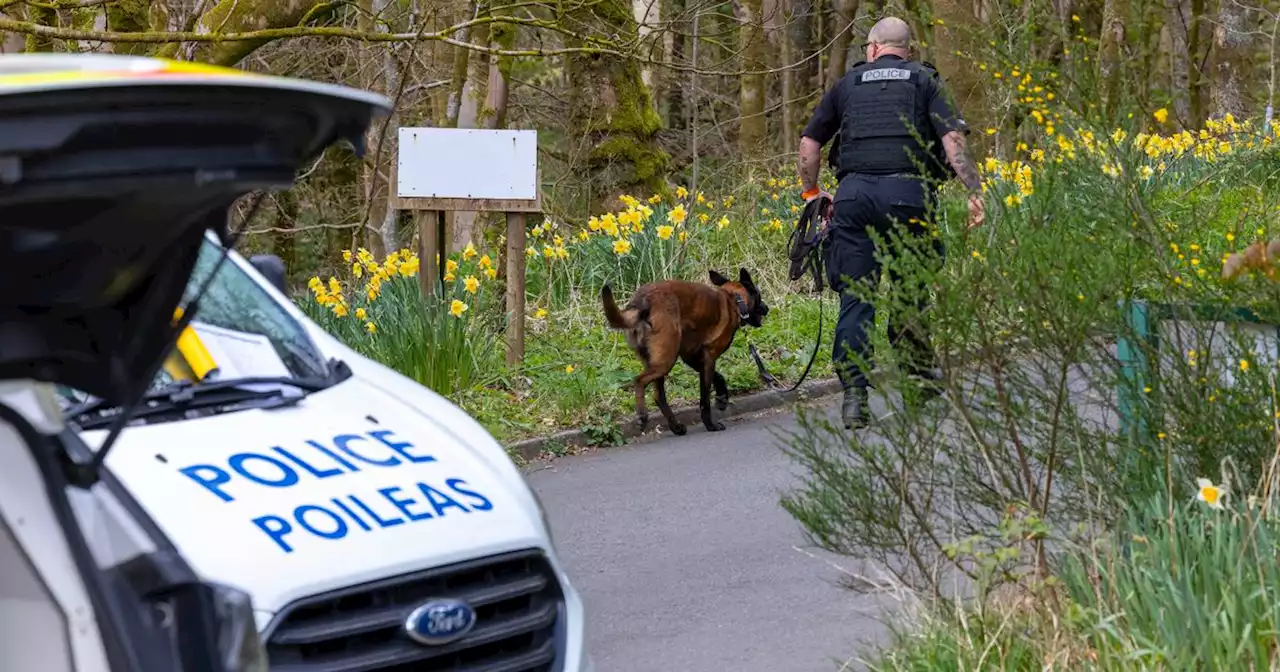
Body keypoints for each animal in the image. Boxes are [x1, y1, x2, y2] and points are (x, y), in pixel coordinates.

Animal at [601, 267, 768, 435]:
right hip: (665, 361)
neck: (734, 300)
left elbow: (719, 376)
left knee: (658, 396)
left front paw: (722, 398)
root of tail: (643, 301)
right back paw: (642, 415)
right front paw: (710, 424)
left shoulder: (692, 357)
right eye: (759, 296)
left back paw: (675, 426)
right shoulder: (709, 357)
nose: (767, 308)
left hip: (658, 360)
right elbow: (705, 398)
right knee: (639, 380)